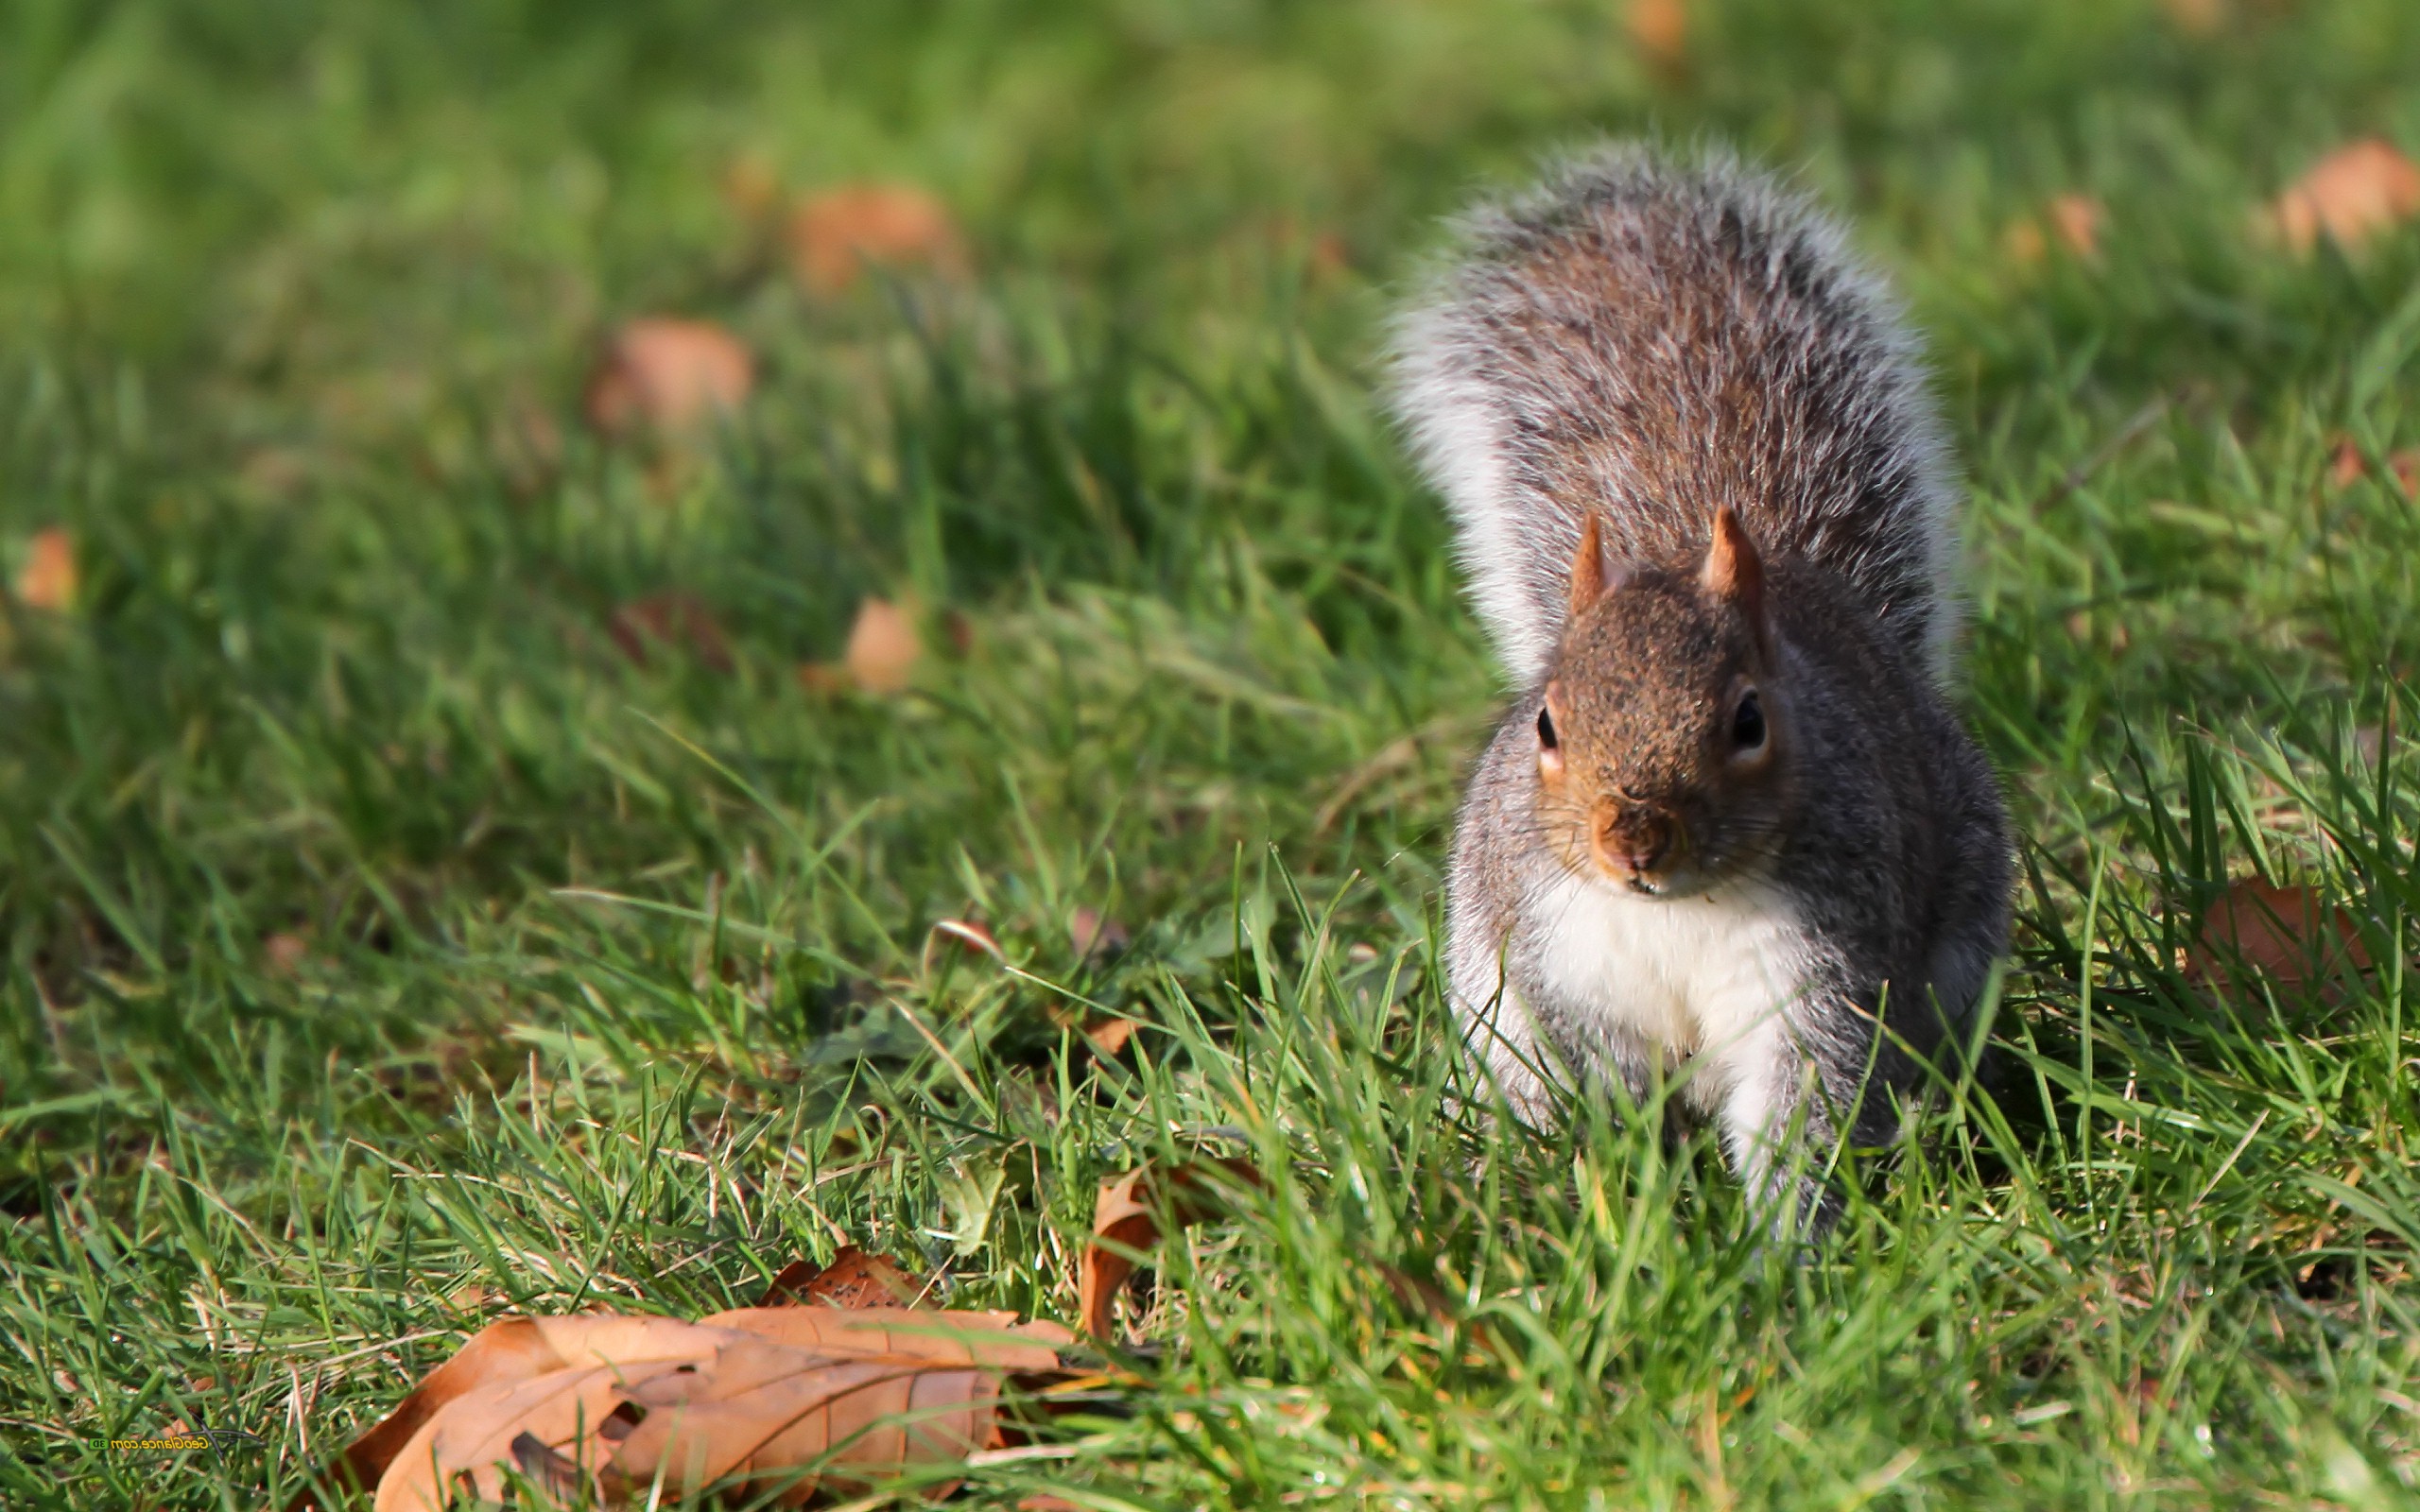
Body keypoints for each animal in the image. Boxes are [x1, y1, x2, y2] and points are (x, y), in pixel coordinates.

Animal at [1393, 144, 2013, 1228]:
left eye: (1748, 719)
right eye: (1545, 723)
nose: (1632, 839)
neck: (1675, 910)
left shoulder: (1820, 973)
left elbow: (1804, 1103)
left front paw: (1782, 1247)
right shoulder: (1559, 958)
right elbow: (1598, 1080)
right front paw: (1627, 1197)